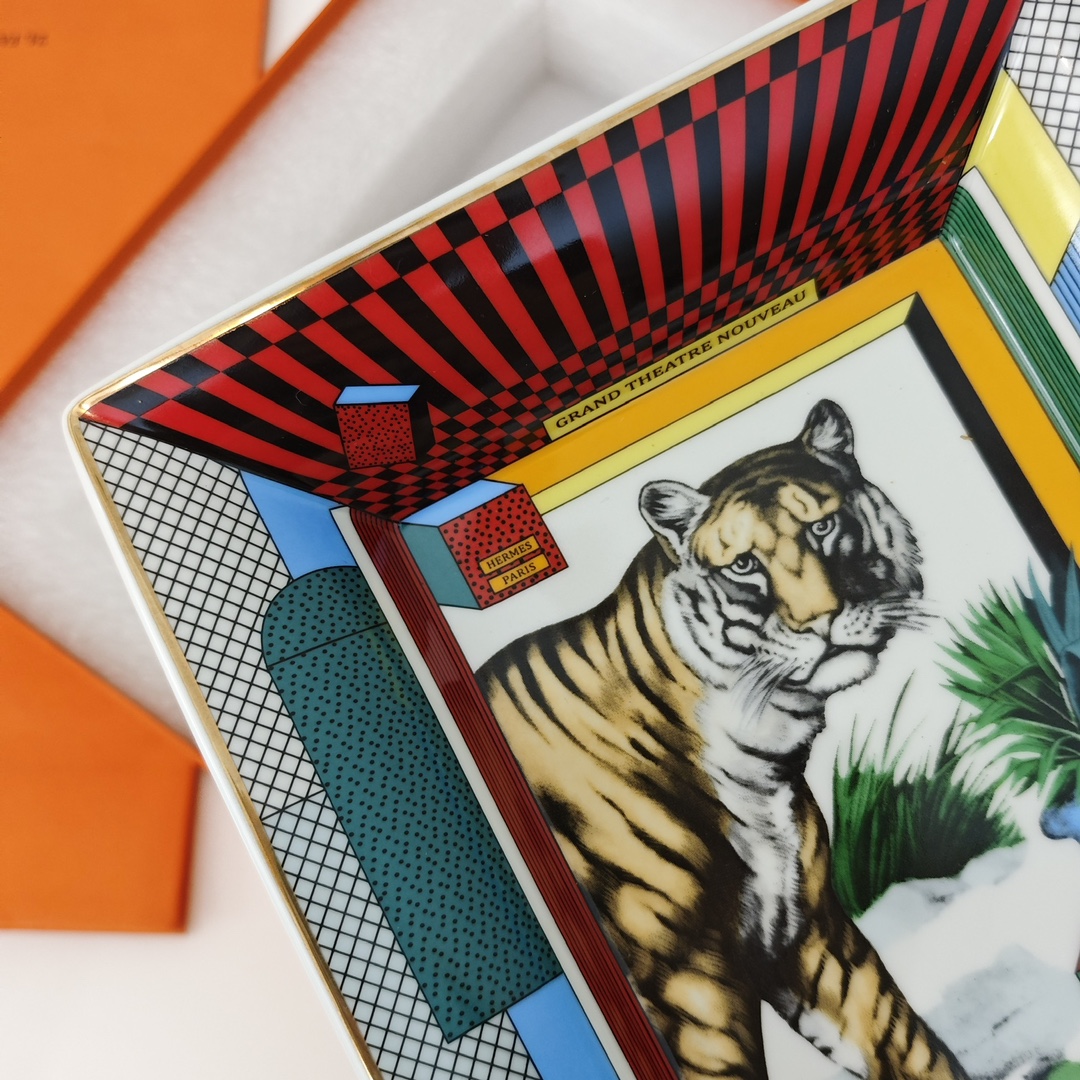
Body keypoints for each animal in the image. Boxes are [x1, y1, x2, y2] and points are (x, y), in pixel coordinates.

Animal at [476, 400, 965, 1080]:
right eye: (744, 565)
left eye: (822, 528)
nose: (822, 621)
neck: (759, 759)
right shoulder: (689, 984)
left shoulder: (812, 933)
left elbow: (913, 1048)